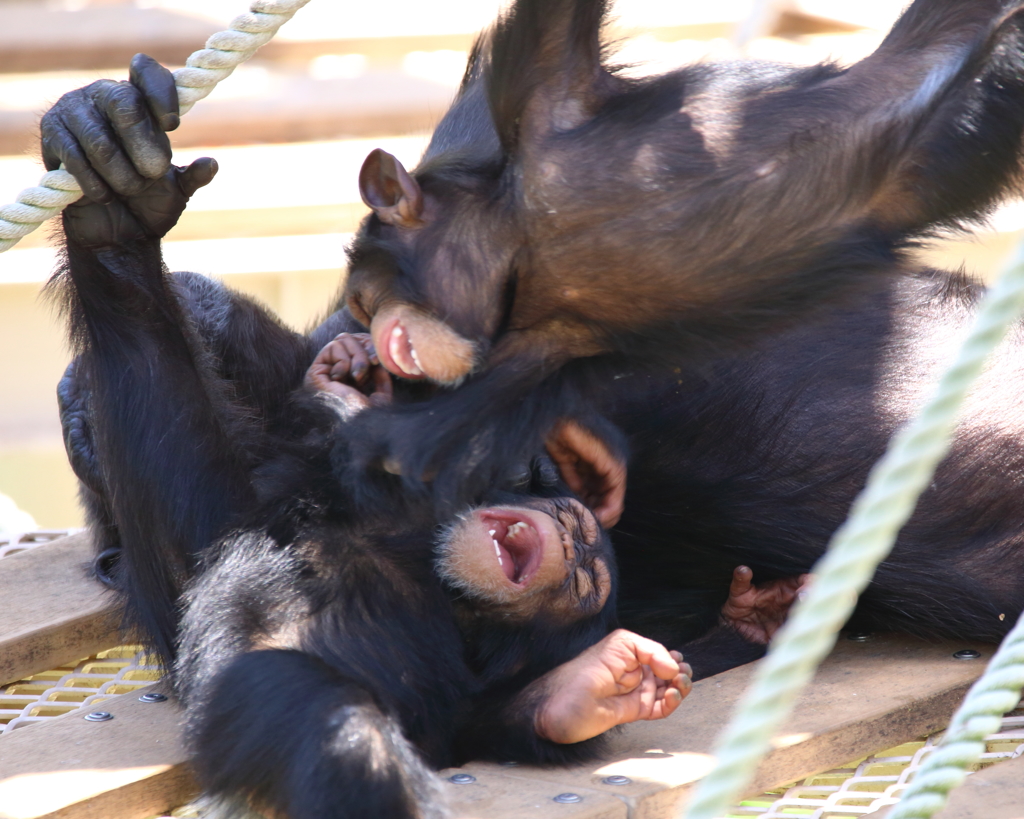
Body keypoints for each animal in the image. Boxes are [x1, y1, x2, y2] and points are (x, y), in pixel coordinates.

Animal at [337, 0, 1024, 511]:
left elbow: (557, 22)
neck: (520, 250)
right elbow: (409, 448)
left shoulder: (536, 94)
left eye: (361, 297)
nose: (374, 330)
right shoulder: (532, 349)